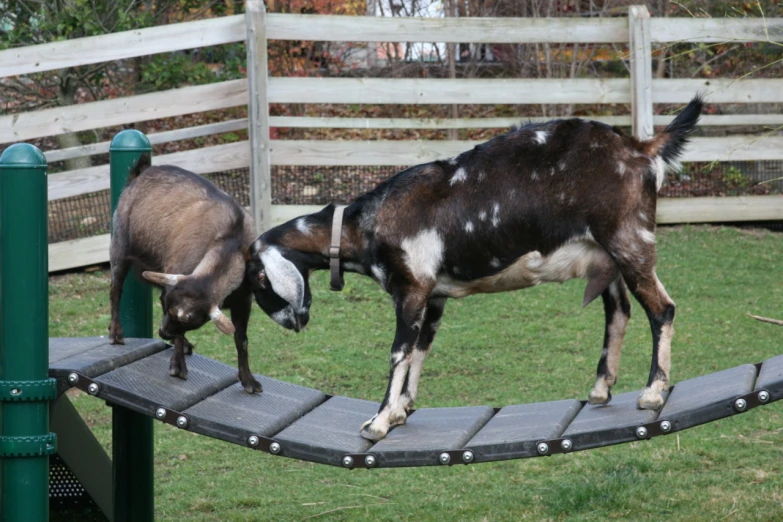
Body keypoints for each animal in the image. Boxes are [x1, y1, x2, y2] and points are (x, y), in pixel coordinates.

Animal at [108, 158, 262, 390]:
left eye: (190, 319)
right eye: (175, 311)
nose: (163, 333)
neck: (230, 240)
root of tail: (139, 174)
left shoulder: (243, 300)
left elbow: (241, 339)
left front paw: (248, 380)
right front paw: (178, 366)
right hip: (120, 244)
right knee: (115, 289)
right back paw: (116, 334)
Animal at [245, 94, 704, 438]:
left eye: (258, 280)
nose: (290, 322)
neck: (365, 223)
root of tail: (640, 149)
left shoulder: (411, 289)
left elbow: (399, 352)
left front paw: (378, 420)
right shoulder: (434, 296)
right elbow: (421, 349)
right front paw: (401, 411)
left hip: (630, 243)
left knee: (662, 309)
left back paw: (653, 392)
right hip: (605, 257)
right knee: (619, 312)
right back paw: (601, 388)